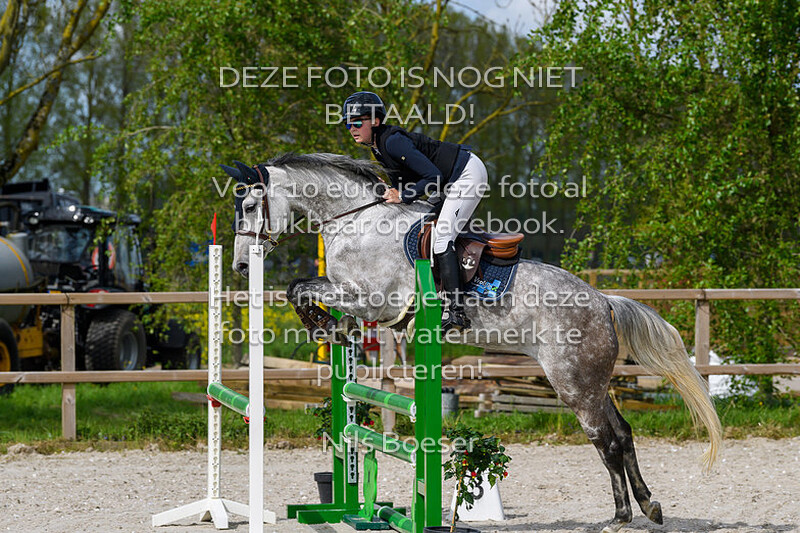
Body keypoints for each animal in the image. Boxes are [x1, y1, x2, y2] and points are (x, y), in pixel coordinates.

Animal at [221, 152, 722, 533]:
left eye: (248, 207)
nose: (243, 267)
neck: (359, 220)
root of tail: (603, 302)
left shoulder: (374, 301)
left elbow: (299, 287)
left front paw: (325, 327)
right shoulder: (356, 296)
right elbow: (303, 287)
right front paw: (333, 330)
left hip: (574, 383)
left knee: (606, 440)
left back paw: (619, 518)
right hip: (594, 383)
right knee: (623, 433)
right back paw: (649, 507)